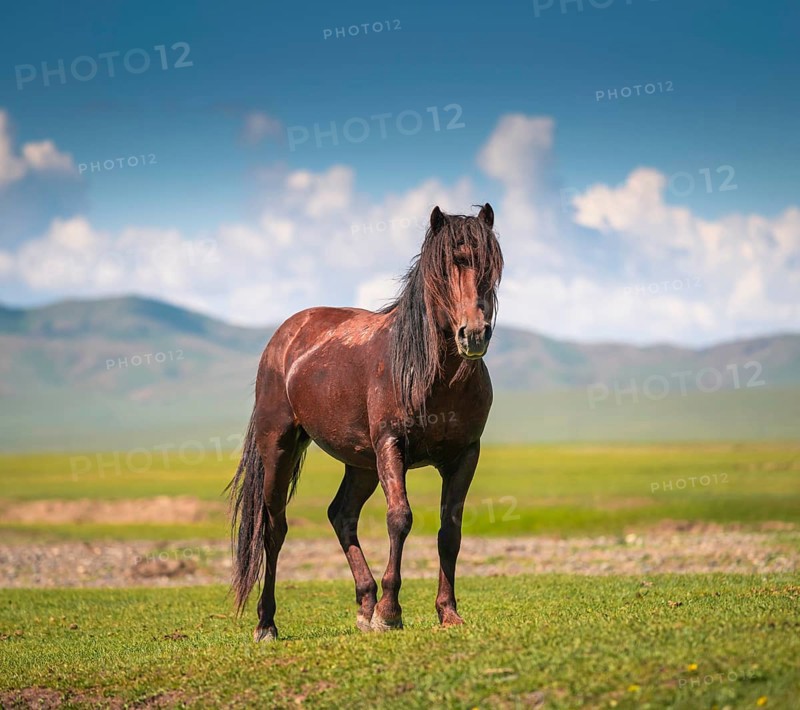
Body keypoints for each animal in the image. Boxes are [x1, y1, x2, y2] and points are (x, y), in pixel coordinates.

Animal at [228, 203, 504, 641]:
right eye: (443, 271)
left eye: (489, 267)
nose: (474, 334)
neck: (432, 375)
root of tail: (285, 336)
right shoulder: (391, 445)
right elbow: (400, 519)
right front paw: (390, 613)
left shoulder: (464, 455)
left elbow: (450, 529)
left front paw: (447, 612)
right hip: (280, 447)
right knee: (274, 529)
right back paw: (267, 623)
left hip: (361, 463)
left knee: (341, 515)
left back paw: (364, 604)